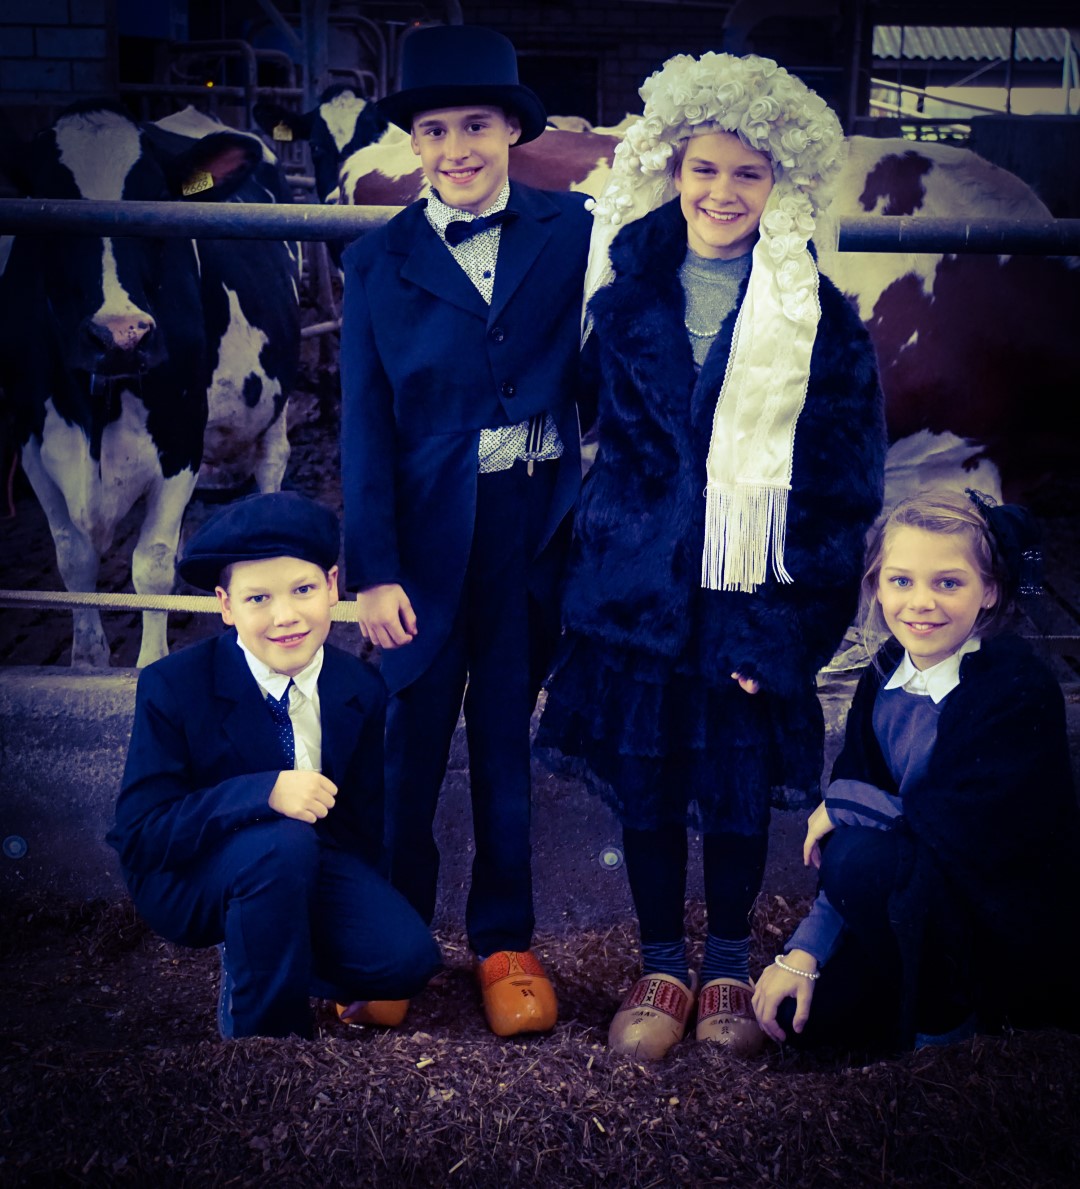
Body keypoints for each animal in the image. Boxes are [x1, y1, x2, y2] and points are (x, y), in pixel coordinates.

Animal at [0, 100, 300, 668]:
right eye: (48, 207)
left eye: (157, 203)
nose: (121, 335)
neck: (94, 411)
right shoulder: (31, 443)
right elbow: (73, 559)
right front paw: (86, 662)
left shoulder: (179, 437)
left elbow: (150, 565)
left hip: (275, 400)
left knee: (271, 466)